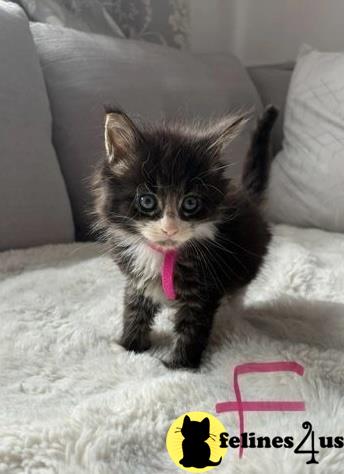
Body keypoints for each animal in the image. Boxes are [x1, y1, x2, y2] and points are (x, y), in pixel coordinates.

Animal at [92, 105, 280, 368]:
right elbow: (134, 311)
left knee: (236, 295)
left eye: (190, 203)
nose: (169, 229)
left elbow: (191, 330)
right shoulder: (136, 280)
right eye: (147, 201)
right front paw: (128, 346)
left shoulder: (204, 288)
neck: (164, 255)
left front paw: (178, 367)